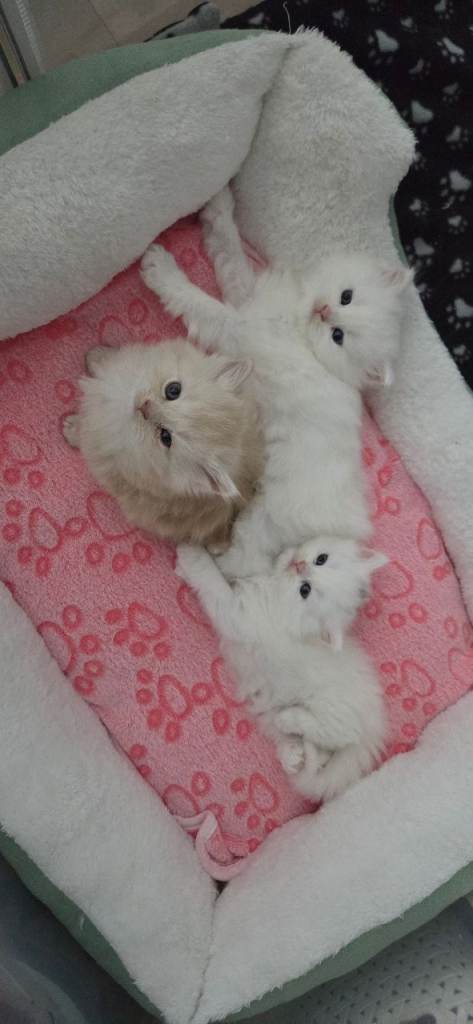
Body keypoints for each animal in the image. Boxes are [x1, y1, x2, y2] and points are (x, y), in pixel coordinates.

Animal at [63, 339, 264, 551]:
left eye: (165, 437)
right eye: (173, 390)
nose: (144, 406)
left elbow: (87, 435)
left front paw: (71, 429)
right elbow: (111, 362)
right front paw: (96, 356)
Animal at [141, 187, 412, 578]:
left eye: (338, 336)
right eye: (346, 296)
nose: (324, 311)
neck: (301, 331)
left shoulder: (237, 327)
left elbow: (200, 302)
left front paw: (160, 268)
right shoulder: (248, 296)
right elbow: (229, 252)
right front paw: (219, 207)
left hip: (258, 523)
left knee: (236, 568)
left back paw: (197, 560)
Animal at [176, 536, 388, 801]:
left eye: (305, 590)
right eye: (321, 559)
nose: (298, 565)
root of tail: (374, 723)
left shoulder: (240, 616)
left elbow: (214, 585)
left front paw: (191, 554)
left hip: (333, 713)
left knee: (336, 735)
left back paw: (289, 721)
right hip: (272, 705)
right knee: (320, 752)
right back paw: (292, 755)